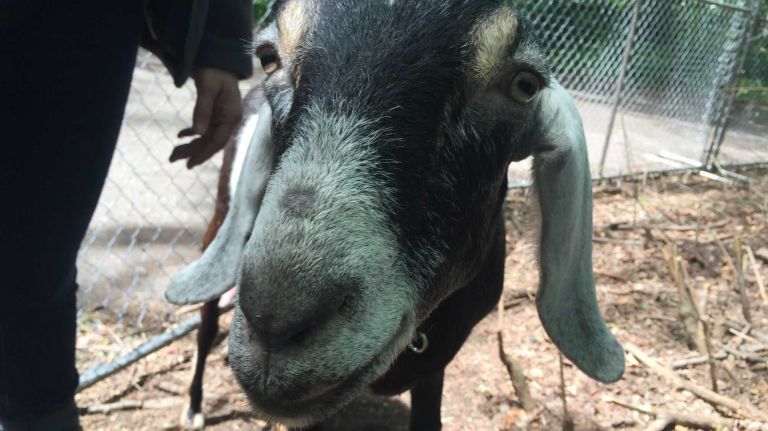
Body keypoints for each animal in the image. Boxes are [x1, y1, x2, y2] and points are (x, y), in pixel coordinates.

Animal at [168, 1, 625, 430]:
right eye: (268, 57)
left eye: (525, 85)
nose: (274, 323)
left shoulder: (435, 368)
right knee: (206, 322)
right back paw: (194, 406)